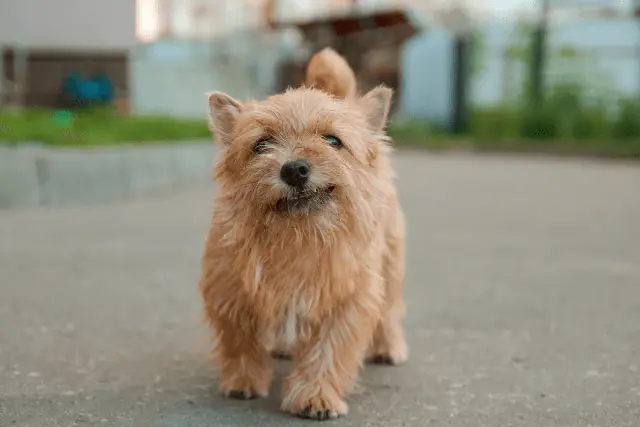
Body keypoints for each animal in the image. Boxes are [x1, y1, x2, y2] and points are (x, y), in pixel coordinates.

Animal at [200, 46, 408, 422]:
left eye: (333, 140)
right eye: (261, 144)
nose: (294, 168)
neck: (299, 237)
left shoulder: (347, 300)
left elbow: (328, 350)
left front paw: (316, 396)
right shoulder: (229, 290)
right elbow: (240, 340)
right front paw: (243, 380)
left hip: (391, 262)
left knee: (388, 310)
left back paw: (388, 347)